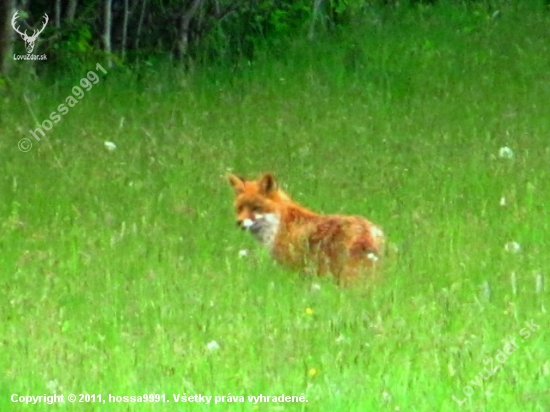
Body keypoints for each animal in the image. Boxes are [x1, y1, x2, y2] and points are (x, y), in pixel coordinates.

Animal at [226, 171, 386, 284]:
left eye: (256, 208)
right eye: (239, 209)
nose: (239, 222)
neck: (278, 224)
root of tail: (367, 228)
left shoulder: (290, 267)